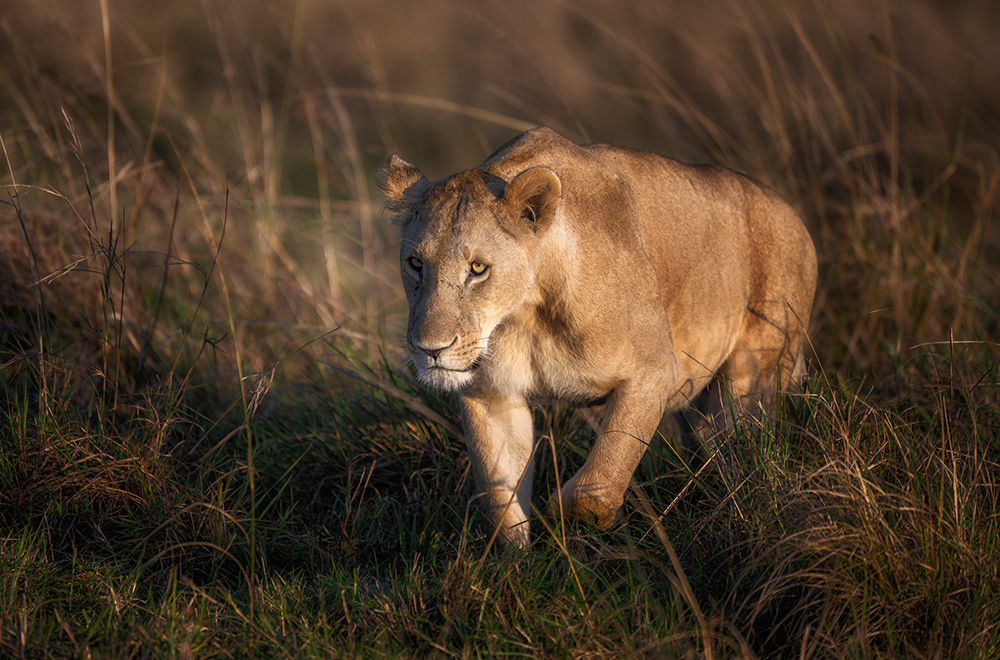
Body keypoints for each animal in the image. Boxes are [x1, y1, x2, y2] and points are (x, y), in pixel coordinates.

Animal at [378, 127, 817, 549]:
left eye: (478, 268)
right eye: (415, 263)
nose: (430, 349)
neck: (526, 313)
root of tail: (794, 217)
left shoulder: (654, 372)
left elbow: (598, 484)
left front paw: (561, 519)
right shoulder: (491, 395)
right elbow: (500, 501)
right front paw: (516, 567)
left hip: (754, 373)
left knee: (740, 447)